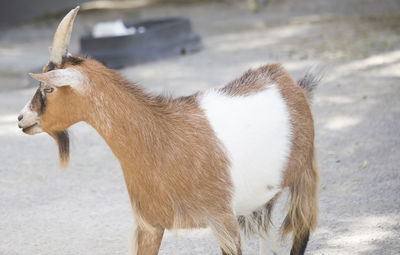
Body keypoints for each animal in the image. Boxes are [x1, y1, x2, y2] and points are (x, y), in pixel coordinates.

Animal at [18, 6, 318, 255]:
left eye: (49, 88)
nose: (21, 119)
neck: (159, 138)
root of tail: (291, 82)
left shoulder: (223, 219)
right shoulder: (150, 225)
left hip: (304, 176)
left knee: (302, 232)